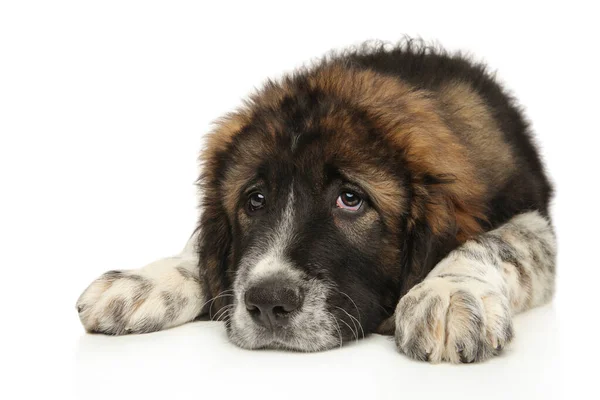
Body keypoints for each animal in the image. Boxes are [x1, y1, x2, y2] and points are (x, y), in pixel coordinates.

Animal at [77, 40, 556, 362]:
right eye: (255, 200)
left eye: (351, 199)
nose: (268, 302)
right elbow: (201, 251)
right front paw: (144, 282)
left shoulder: (533, 218)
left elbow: (497, 242)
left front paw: (448, 292)